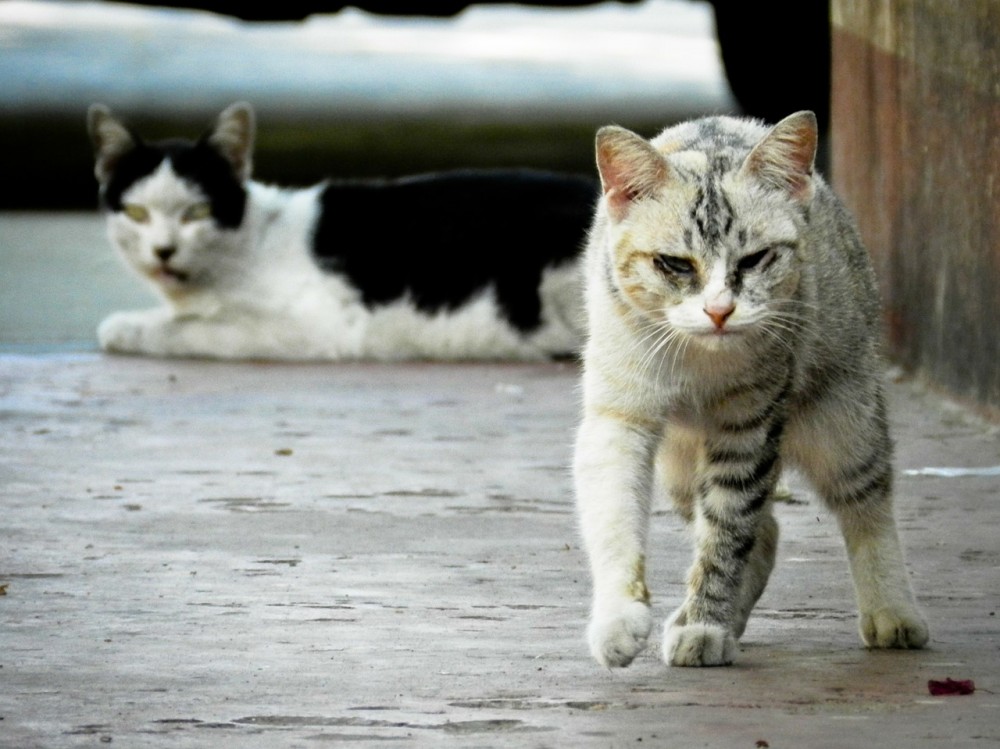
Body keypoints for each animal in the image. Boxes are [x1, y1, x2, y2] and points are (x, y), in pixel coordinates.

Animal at [86, 103, 592, 360]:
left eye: (196, 211)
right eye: (136, 212)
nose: (164, 250)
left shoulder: (313, 328)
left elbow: (184, 330)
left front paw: (129, 326)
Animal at [576, 109, 932, 668]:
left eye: (755, 259)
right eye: (675, 264)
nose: (719, 310)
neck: (699, 360)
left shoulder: (749, 426)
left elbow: (727, 533)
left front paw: (704, 625)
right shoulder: (619, 415)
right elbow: (614, 516)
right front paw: (619, 621)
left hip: (844, 418)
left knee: (865, 502)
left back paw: (892, 612)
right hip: (681, 469)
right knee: (764, 533)